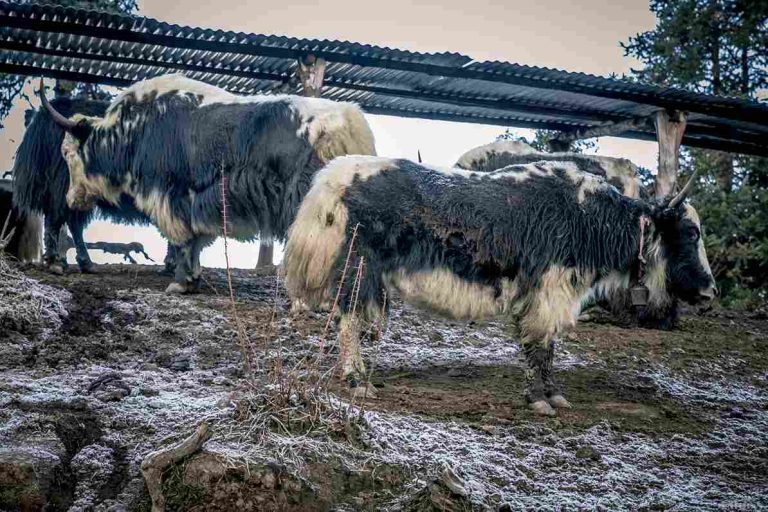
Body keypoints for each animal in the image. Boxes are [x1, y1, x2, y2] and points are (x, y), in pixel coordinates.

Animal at [41, 74, 376, 293]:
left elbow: (182, 239)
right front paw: (193, 278)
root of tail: (350, 125)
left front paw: (179, 282)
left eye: (69, 152)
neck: (133, 130)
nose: (72, 198)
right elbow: (196, 239)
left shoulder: (170, 193)